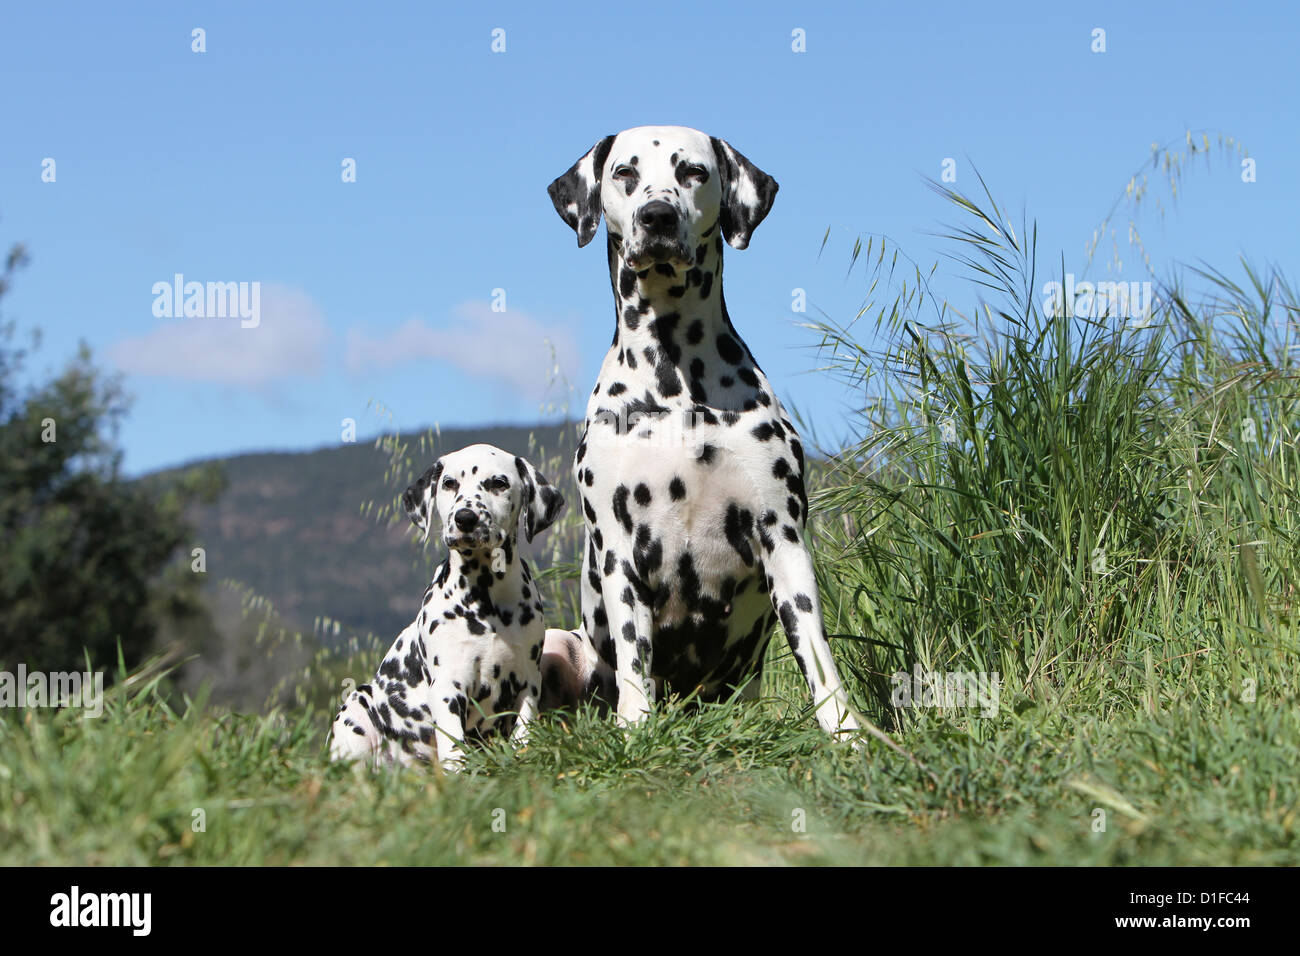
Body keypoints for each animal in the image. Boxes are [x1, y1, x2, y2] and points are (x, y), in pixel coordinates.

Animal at [327, 444, 561, 775]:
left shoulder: (528, 682)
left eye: (499, 483)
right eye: (449, 483)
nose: (465, 518)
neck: (486, 598)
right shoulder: (449, 685)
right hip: (358, 706)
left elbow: (523, 733)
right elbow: (454, 744)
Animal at [546, 125, 863, 738]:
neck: (676, 382)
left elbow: (817, 653)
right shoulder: (619, 548)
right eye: (624, 172)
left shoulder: (782, 534)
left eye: (693, 172)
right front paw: (635, 728)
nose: (658, 217)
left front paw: (846, 731)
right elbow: (634, 658)